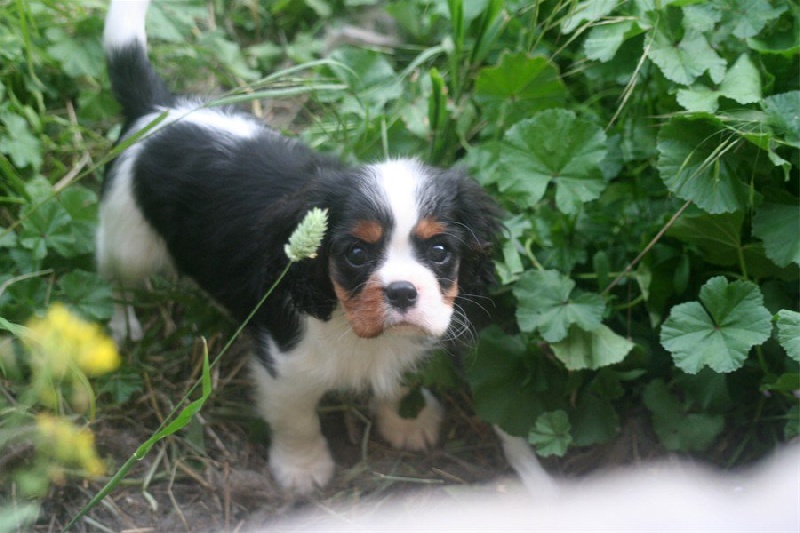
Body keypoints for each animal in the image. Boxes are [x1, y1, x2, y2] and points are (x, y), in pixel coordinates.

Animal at [98, 0, 500, 492]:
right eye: (356, 254)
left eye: (440, 252)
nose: (403, 291)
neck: (347, 321)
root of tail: (157, 107)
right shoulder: (283, 368)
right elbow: (296, 419)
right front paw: (303, 468)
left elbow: (397, 379)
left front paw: (409, 420)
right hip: (126, 236)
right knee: (118, 280)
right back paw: (125, 325)